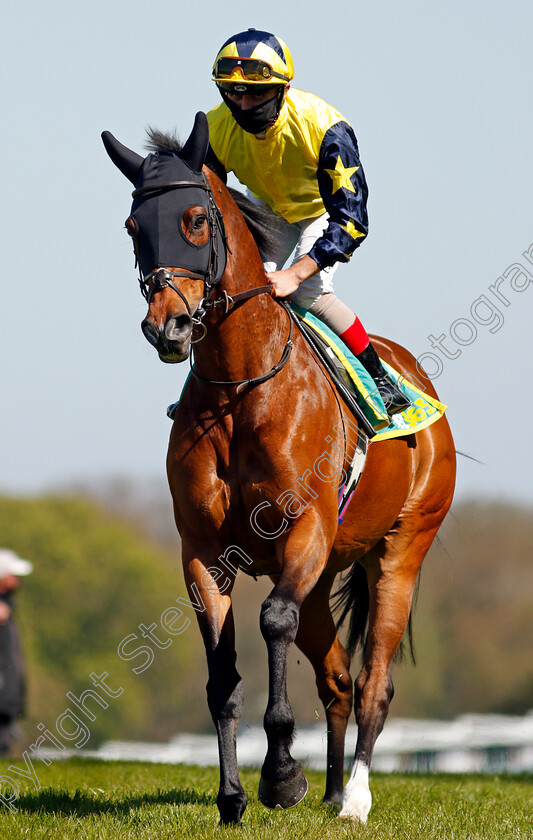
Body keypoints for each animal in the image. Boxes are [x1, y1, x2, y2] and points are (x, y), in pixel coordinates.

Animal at [102, 113, 456, 828]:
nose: (167, 327)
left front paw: (282, 775)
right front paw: (233, 796)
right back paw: (331, 792)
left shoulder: (305, 531)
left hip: (400, 553)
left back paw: (355, 799)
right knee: (338, 681)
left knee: (374, 682)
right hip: (322, 583)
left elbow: (271, 622)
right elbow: (222, 678)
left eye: (195, 220)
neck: (242, 386)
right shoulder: (205, 552)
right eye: (132, 227)